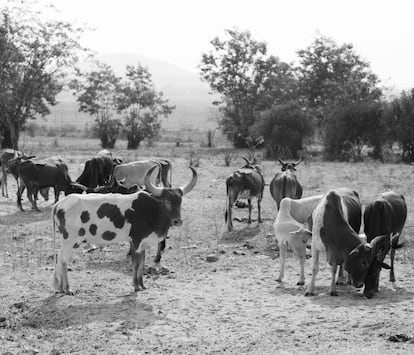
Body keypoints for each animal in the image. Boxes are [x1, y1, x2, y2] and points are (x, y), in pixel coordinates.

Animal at [51, 165, 197, 294]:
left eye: (180, 201)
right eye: (167, 202)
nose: (177, 221)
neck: (151, 210)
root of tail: (59, 204)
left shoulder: (142, 244)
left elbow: (142, 264)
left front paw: (142, 285)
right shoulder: (136, 242)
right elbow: (136, 264)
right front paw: (136, 287)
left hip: (67, 241)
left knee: (59, 258)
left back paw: (61, 288)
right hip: (69, 240)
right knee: (63, 260)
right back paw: (67, 288)